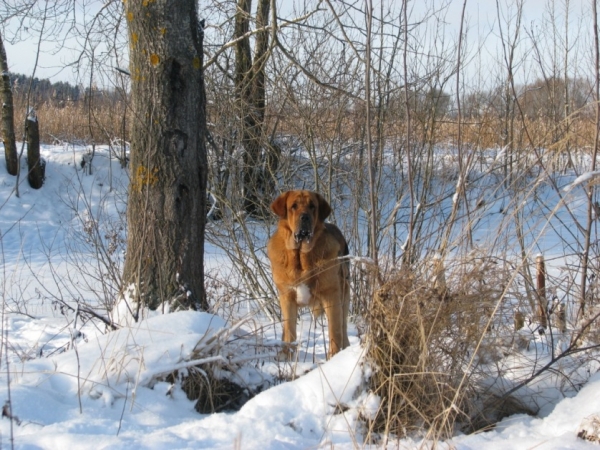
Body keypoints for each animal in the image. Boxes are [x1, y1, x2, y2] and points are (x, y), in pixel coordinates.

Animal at [268, 190, 352, 358]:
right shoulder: (287, 298)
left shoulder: (331, 295)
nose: (305, 217)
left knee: (343, 327)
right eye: (293, 206)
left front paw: (334, 357)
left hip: (344, 295)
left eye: (312, 206)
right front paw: (287, 356)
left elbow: (335, 330)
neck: (301, 257)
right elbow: (289, 330)